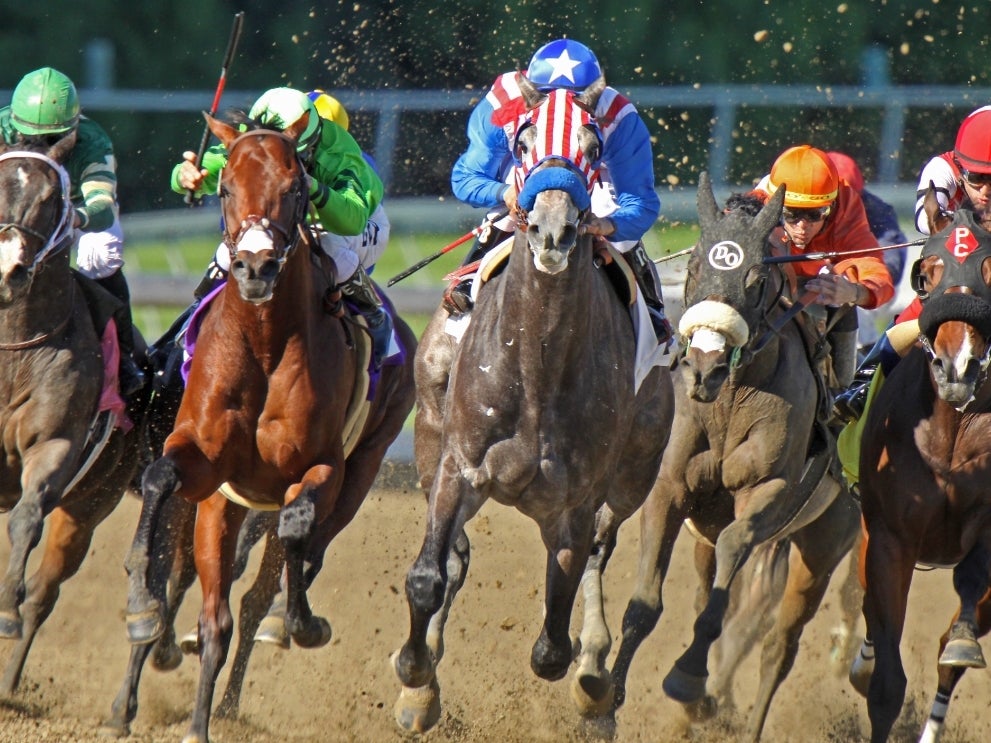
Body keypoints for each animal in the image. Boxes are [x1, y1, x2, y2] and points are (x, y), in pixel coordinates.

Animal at [0, 141, 153, 696]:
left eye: (51, 198)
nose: (8, 269)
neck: (13, 350)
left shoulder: (57, 445)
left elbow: (26, 519)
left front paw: (6, 609)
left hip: (90, 503)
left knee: (45, 593)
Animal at [121, 110, 418, 743]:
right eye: (225, 188)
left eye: (296, 189)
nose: (255, 268)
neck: (262, 342)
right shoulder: (206, 467)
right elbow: (161, 483)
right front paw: (141, 607)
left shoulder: (318, 468)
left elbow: (299, 530)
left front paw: (299, 623)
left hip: (363, 468)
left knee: (301, 552)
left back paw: (284, 627)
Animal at [392, 72, 680, 736]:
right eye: (522, 143)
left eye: (594, 146)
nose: (554, 230)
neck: (537, 366)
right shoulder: (458, 465)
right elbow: (427, 576)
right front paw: (416, 680)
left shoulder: (576, 498)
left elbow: (554, 634)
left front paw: (584, 672)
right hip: (430, 430)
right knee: (454, 560)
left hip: (634, 473)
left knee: (598, 555)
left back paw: (595, 680)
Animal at [604, 173, 860, 740]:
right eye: (696, 264)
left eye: (756, 277)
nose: (705, 365)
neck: (731, 398)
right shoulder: (670, 488)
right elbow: (645, 604)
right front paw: (599, 701)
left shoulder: (769, 493)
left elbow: (731, 563)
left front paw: (686, 678)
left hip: (826, 542)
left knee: (778, 646)